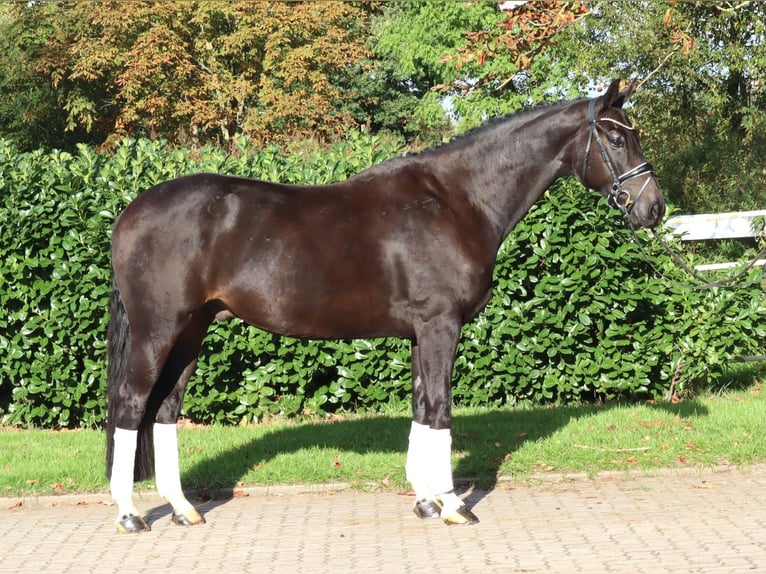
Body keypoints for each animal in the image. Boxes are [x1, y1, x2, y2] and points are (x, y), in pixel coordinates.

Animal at [105, 79, 665, 533]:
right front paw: (452, 505)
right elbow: (440, 408)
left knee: (166, 408)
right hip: (159, 330)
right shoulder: (441, 327)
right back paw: (131, 515)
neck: (456, 201)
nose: (653, 207)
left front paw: (425, 502)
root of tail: (131, 212)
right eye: (617, 139)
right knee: (132, 405)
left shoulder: (421, 333)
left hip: (191, 331)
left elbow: (420, 407)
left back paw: (183, 509)